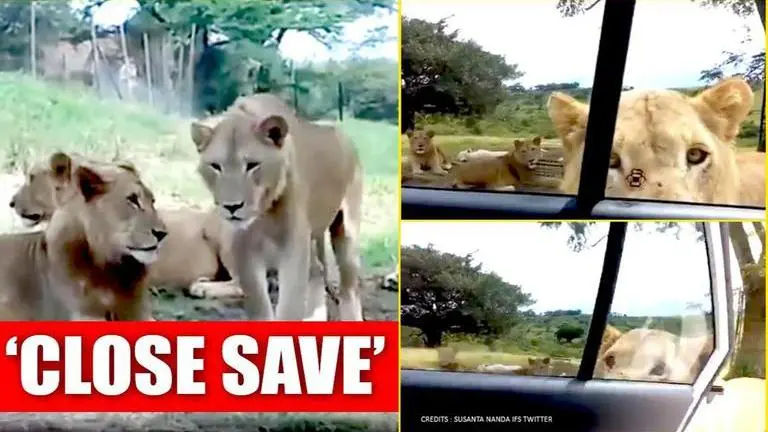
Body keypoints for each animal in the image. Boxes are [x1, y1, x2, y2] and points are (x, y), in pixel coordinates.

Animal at [190, 93, 364, 321]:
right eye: (216, 167)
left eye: (252, 165)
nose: (232, 207)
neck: (262, 214)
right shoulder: (243, 247)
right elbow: (258, 304)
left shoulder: (293, 245)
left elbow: (290, 305)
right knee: (317, 272)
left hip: (346, 230)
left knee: (349, 285)